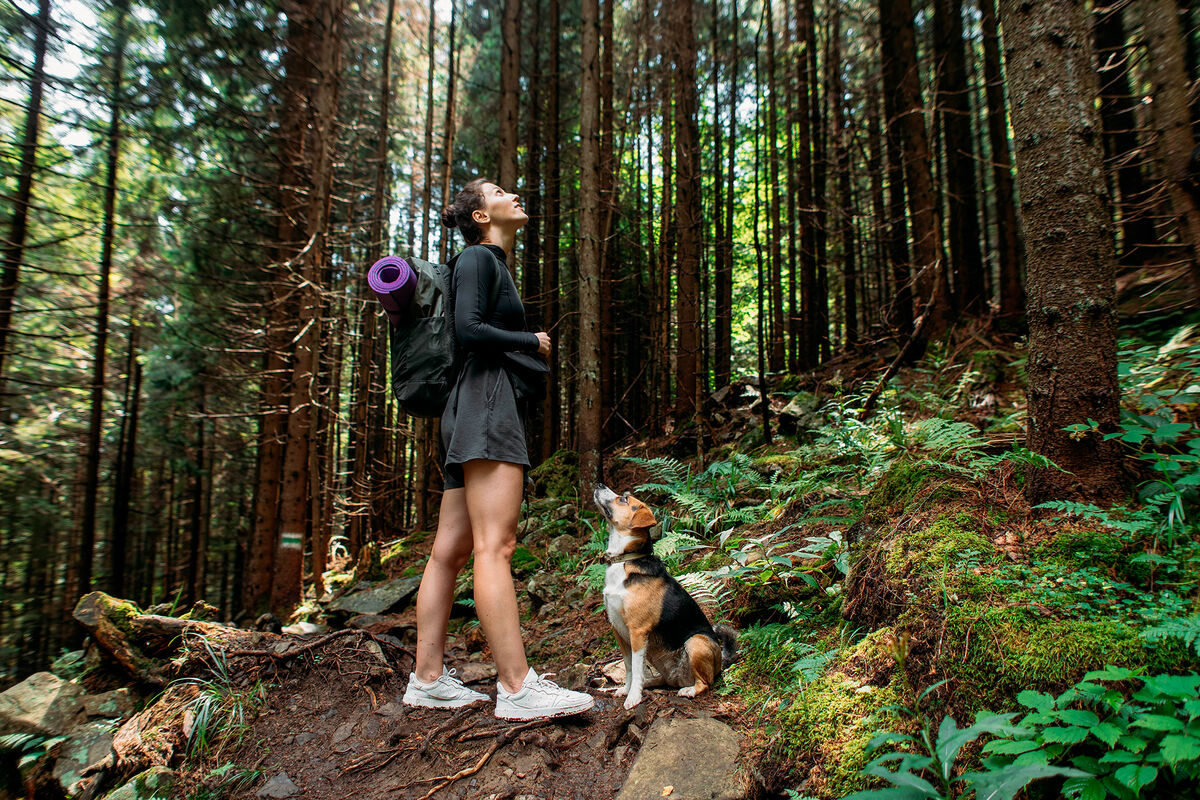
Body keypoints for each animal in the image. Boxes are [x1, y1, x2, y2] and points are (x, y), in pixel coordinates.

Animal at [595, 484, 734, 710]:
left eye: (623, 500)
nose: (599, 485)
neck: (624, 560)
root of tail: (720, 662)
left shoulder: (637, 631)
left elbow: (636, 666)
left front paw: (633, 697)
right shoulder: (618, 629)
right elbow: (629, 667)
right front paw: (627, 689)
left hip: (696, 642)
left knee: (705, 683)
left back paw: (689, 690)